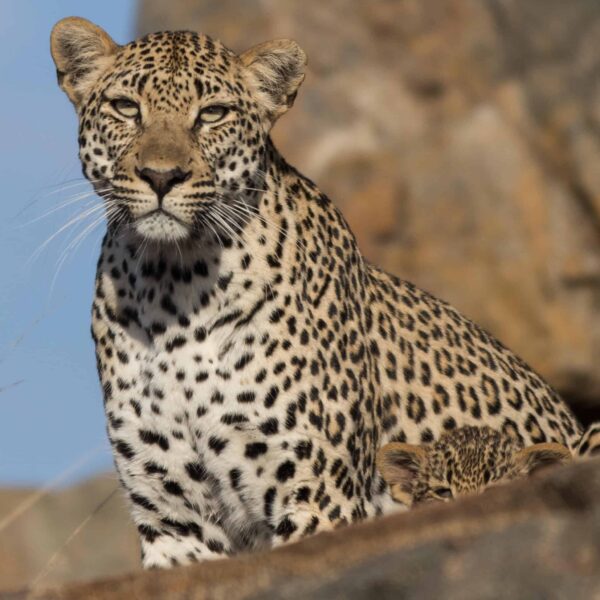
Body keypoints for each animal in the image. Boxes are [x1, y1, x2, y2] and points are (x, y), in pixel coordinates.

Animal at [51, 17, 580, 568]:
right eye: (125, 107)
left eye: (213, 113)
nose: (161, 176)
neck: (172, 286)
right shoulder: (172, 520)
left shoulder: (317, 496)